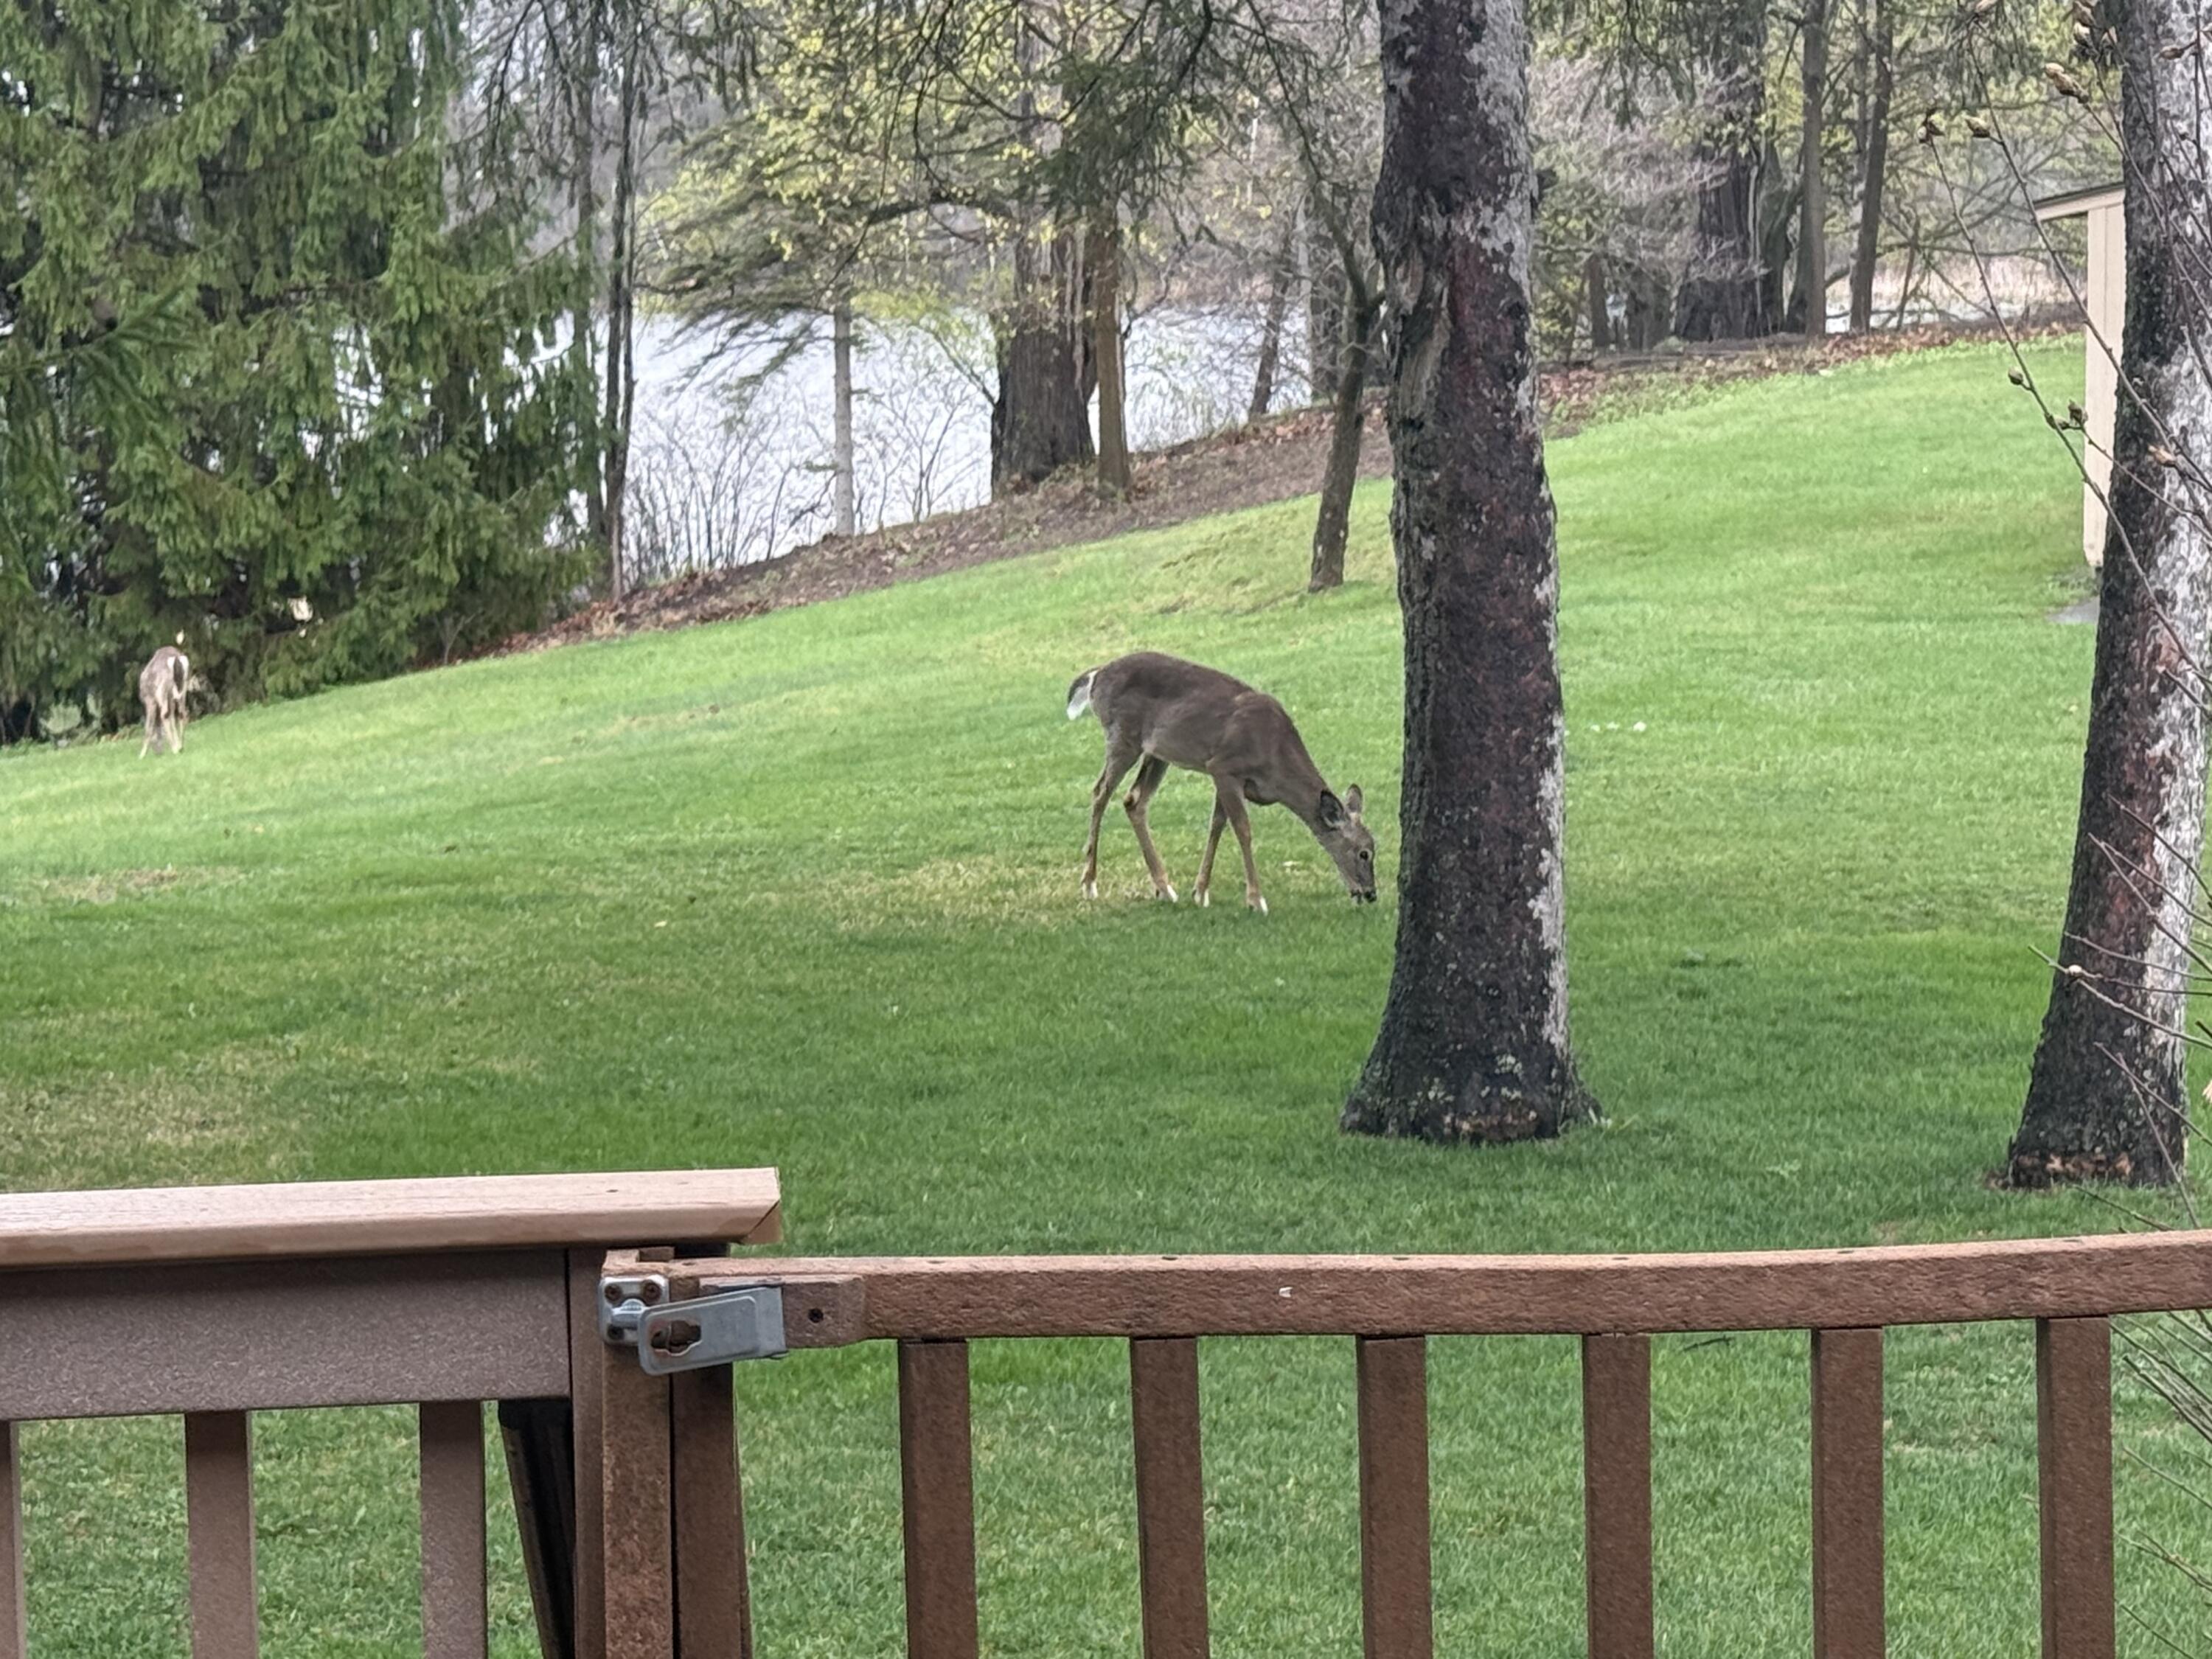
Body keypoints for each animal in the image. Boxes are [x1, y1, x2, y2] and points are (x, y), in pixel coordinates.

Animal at [138, 643, 190, 756]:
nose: (158, 753)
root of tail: (176, 658)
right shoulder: (171, 699)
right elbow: (172, 719)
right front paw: (178, 745)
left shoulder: (150, 700)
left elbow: (148, 727)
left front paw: (142, 755)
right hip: (183, 686)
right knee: (182, 713)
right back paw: (180, 747)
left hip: (162, 689)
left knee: (164, 715)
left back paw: (175, 749)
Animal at [1065, 651, 1376, 913]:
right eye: (1364, 853)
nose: (1371, 894)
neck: (1275, 761)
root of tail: (1097, 675)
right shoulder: (1225, 767)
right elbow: (1243, 830)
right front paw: (1256, 900)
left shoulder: (1225, 777)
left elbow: (1217, 826)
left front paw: (1200, 892)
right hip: (1122, 736)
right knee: (1100, 793)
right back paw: (1090, 883)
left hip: (1157, 753)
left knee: (1134, 800)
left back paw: (1165, 888)